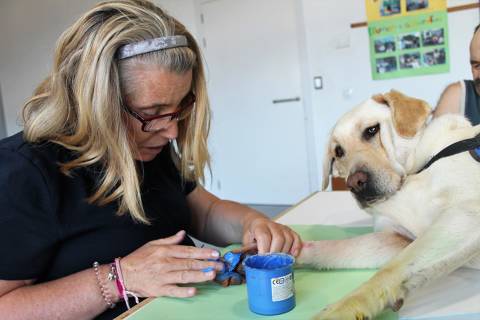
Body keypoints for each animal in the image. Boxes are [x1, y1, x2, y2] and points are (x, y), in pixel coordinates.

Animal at [298, 90, 478, 320]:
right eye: (338, 152)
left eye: (371, 130)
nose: (354, 183)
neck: (414, 173)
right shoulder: (397, 238)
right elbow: (335, 248)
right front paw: (291, 251)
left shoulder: (466, 214)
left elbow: (389, 270)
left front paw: (340, 310)